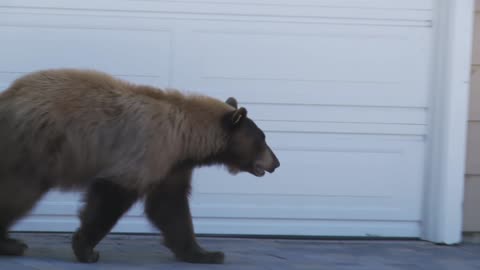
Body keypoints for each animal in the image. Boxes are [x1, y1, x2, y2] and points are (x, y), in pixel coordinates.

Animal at [0, 69, 282, 264]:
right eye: (262, 139)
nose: (277, 163)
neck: (186, 137)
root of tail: (7, 97)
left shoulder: (171, 163)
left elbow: (170, 207)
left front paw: (206, 253)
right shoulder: (146, 150)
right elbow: (112, 196)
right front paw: (86, 249)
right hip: (34, 146)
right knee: (18, 192)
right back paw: (11, 243)